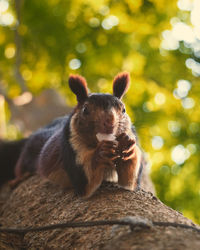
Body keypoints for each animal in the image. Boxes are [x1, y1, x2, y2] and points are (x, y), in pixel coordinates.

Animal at [0, 72, 144, 197]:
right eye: (85, 110)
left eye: (123, 110)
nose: (110, 121)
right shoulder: (70, 145)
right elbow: (85, 181)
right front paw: (101, 152)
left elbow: (129, 182)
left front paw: (128, 145)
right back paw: (19, 177)